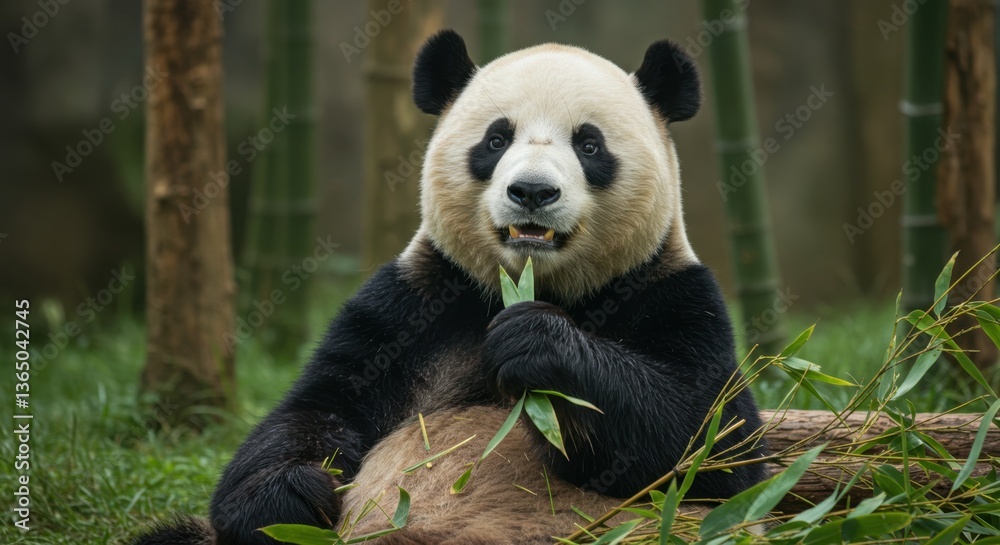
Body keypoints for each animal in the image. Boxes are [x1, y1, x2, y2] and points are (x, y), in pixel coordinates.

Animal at [133, 29, 767, 545]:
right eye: (496, 139)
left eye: (589, 144)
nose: (532, 192)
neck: (537, 284)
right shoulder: (415, 301)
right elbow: (314, 411)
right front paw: (293, 494)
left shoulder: (674, 293)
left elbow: (714, 447)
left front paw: (536, 343)